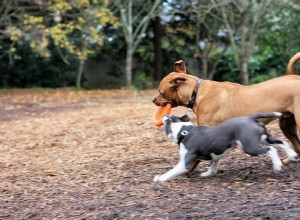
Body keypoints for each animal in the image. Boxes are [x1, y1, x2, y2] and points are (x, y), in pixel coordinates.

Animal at [154, 111, 298, 182]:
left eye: (168, 118)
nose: (164, 115)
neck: (184, 131)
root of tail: (250, 118)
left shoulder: (186, 163)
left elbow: (172, 170)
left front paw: (161, 178)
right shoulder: (215, 155)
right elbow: (213, 166)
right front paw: (207, 174)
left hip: (249, 146)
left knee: (271, 150)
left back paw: (277, 166)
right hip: (264, 138)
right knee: (282, 142)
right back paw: (292, 155)